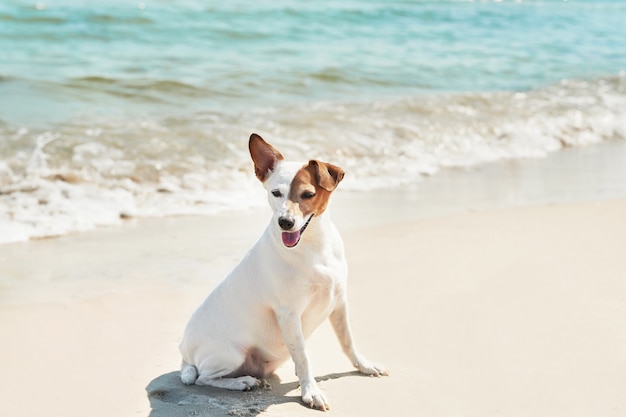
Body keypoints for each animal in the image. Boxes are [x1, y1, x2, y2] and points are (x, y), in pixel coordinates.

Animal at [177, 134, 386, 410]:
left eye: (308, 194)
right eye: (275, 193)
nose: (285, 222)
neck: (314, 247)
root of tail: (184, 353)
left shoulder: (339, 303)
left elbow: (347, 342)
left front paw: (363, 366)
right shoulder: (289, 314)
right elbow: (304, 356)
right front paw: (311, 391)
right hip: (230, 355)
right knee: (203, 378)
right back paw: (242, 382)